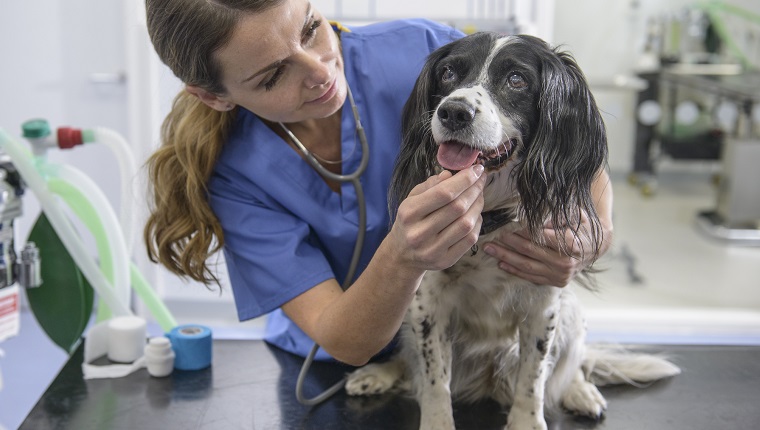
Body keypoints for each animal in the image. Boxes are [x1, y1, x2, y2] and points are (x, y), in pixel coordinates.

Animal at [348, 32, 680, 430]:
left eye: (516, 79)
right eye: (448, 73)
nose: (453, 112)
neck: (490, 218)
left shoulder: (544, 305)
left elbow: (532, 380)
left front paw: (527, 420)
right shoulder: (428, 302)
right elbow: (434, 382)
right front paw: (437, 419)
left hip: (571, 313)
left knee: (573, 366)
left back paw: (580, 392)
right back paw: (377, 373)